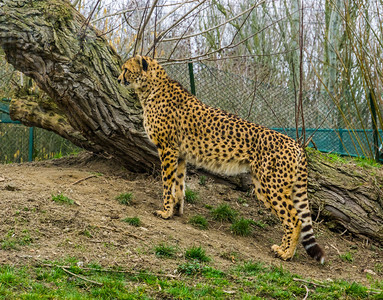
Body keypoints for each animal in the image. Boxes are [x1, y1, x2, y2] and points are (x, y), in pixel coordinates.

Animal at [117, 55, 324, 262]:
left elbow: (167, 184)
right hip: (264, 185)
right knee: (295, 217)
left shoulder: (167, 149)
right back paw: (283, 249)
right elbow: (179, 184)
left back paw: (285, 253)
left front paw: (165, 212)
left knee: (295, 219)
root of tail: (295, 144)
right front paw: (176, 209)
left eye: (126, 69)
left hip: (272, 186)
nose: (118, 79)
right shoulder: (180, 154)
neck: (150, 88)